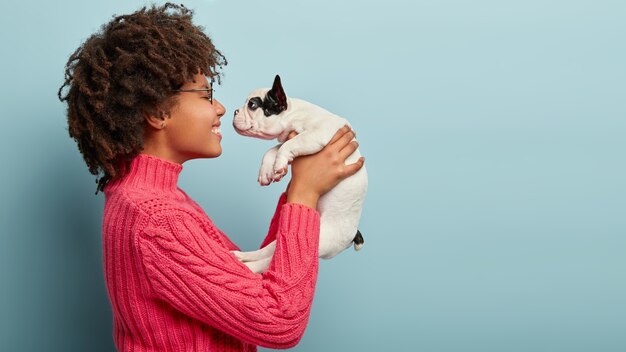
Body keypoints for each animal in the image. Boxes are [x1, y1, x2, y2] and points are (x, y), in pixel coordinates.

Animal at [230, 73, 366, 272]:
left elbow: (287, 145)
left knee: (268, 261)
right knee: (269, 251)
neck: (293, 114)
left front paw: (278, 165)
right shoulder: (290, 136)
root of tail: (353, 234)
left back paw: (249, 267)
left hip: (321, 239)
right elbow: (273, 149)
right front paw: (267, 171)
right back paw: (242, 257)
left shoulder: (316, 134)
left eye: (252, 105)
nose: (235, 111)